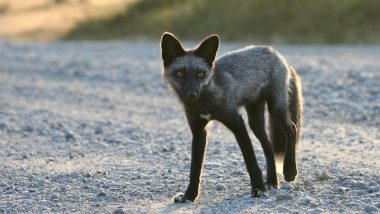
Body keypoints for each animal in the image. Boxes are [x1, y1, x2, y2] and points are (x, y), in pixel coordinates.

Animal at [160, 31, 302, 202]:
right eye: (180, 73)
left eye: (200, 74)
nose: (191, 94)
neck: (205, 101)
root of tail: (277, 54)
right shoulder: (199, 130)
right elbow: (195, 169)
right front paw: (189, 196)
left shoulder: (236, 122)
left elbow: (250, 159)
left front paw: (258, 189)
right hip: (255, 121)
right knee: (268, 147)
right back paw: (272, 182)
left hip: (276, 109)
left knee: (292, 129)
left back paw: (289, 171)